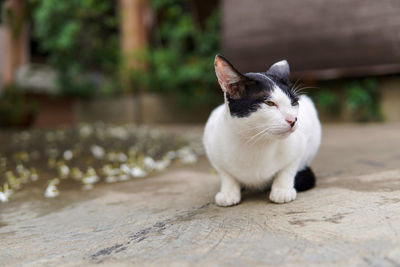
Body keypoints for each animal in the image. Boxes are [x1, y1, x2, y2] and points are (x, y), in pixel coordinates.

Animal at [203, 55, 322, 207]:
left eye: (294, 103)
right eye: (269, 103)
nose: (293, 120)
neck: (256, 141)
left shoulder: (299, 146)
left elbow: (288, 169)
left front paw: (282, 190)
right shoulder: (212, 147)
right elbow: (226, 175)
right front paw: (228, 192)